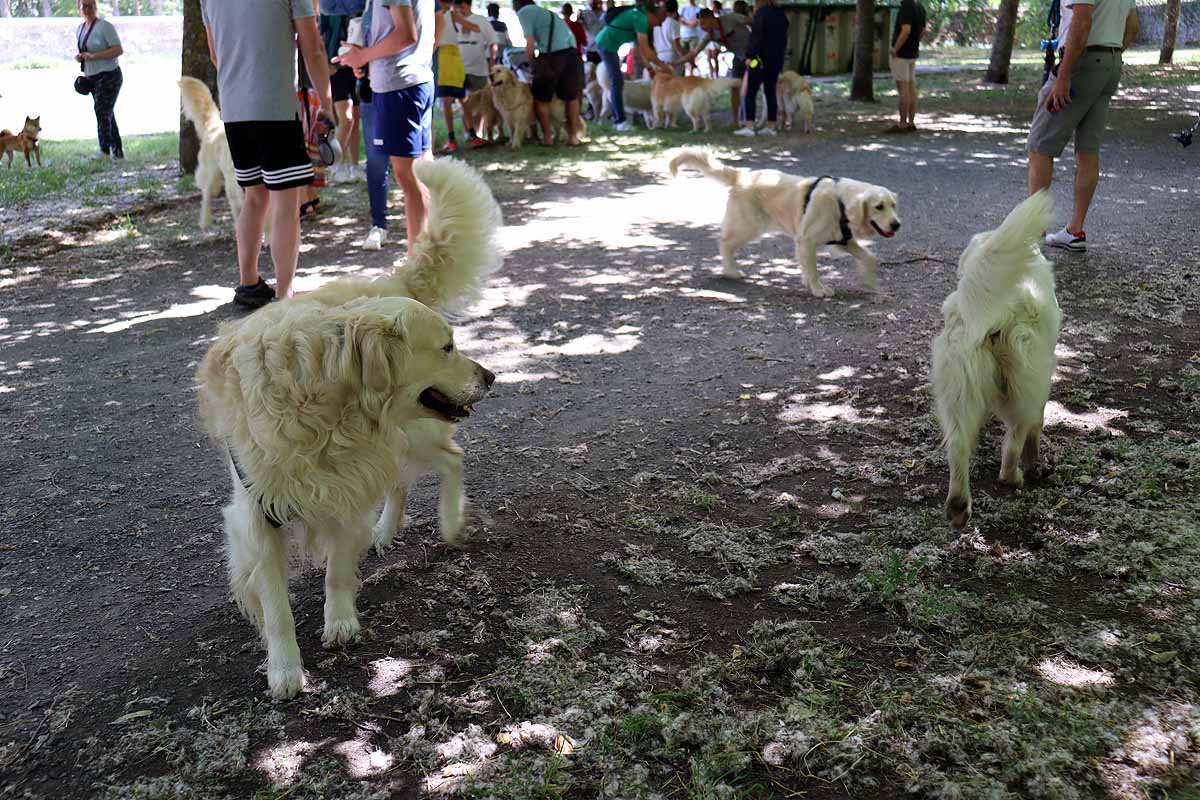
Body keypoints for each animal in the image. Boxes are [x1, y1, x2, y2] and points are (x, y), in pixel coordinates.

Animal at [195, 158, 501, 700]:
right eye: (446, 347)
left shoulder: (345, 487)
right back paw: (385, 529)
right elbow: (275, 605)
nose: (490, 377)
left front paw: (340, 621)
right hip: (400, 438)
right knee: (405, 479)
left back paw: (448, 522)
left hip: (413, 433)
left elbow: (338, 569)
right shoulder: (257, 514)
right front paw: (285, 668)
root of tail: (391, 283)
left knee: (452, 460)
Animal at [926, 191, 1060, 532]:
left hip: (957, 389)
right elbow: (1035, 429)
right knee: (1013, 442)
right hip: (1029, 384)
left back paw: (959, 506)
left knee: (958, 444)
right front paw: (1035, 461)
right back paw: (1016, 477)